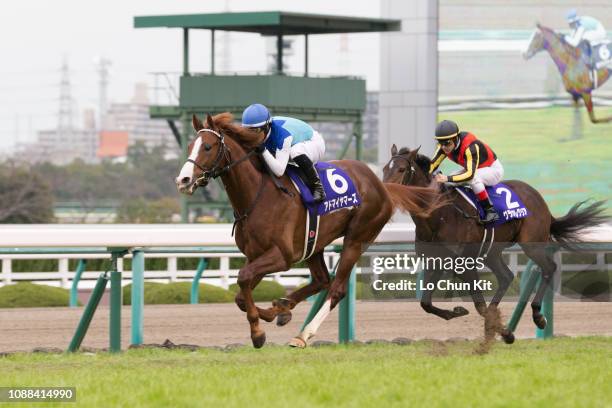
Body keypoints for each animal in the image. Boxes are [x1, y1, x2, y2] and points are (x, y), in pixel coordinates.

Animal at [175, 113, 442, 350]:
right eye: (189, 146)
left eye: (207, 146)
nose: (183, 180)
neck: (257, 196)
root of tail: (382, 186)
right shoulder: (256, 255)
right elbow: (241, 293)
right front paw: (275, 312)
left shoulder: (281, 256)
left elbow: (243, 279)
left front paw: (258, 333)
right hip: (315, 243)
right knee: (322, 279)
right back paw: (284, 308)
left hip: (358, 238)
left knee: (336, 288)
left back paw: (303, 335)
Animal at [382, 145, 608, 342]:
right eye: (384, 169)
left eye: (401, 169)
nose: (386, 193)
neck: (439, 215)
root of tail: (539, 198)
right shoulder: (436, 261)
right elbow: (426, 303)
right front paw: (459, 312)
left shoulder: (465, 264)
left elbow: (478, 305)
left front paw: (506, 332)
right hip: (492, 251)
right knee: (506, 276)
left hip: (532, 243)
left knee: (548, 268)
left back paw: (538, 316)